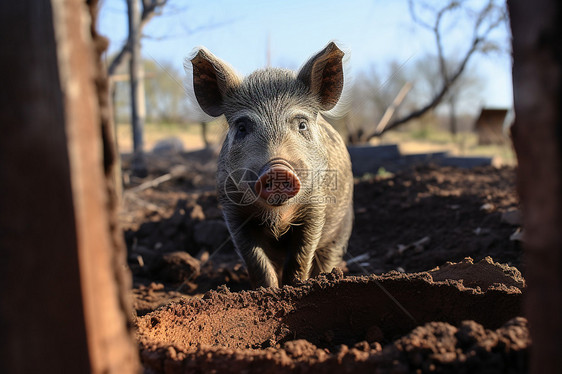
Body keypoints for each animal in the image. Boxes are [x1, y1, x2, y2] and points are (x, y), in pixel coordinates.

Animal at [190, 42, 352, 288]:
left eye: (302, 125)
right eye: (242, 127)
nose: (277, 169)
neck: (278, 216)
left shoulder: (316, 207)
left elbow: (300, 257)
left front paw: (294, 287)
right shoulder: (233, 212)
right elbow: (256, 261)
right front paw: (268, 291)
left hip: (343, 227)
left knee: (327, 257)